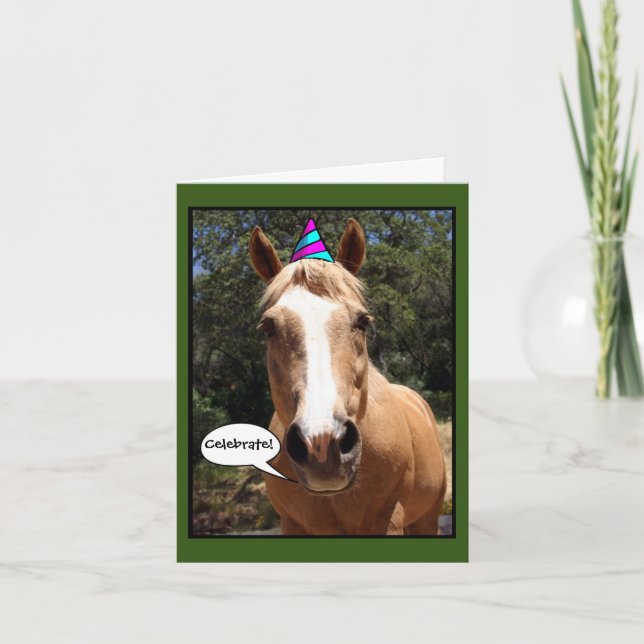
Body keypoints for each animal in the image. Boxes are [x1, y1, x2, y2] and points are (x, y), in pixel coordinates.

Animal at [248, 218, 447, 535]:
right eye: (268, 327)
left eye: (362, 321)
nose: (321, 444)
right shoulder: (292, 523)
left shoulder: (388, 518)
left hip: (427, 518)